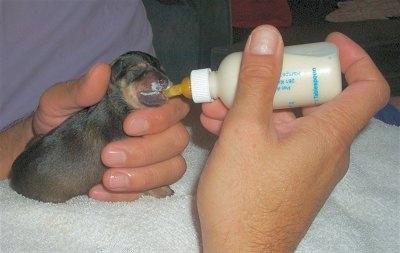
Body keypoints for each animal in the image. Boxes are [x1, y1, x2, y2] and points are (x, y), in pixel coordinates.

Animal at [10, 51, 173, 204]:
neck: (118, 106)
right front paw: (163, 190)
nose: (164, 80)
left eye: (162, 69)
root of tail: (13, 178)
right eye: (135, 70)